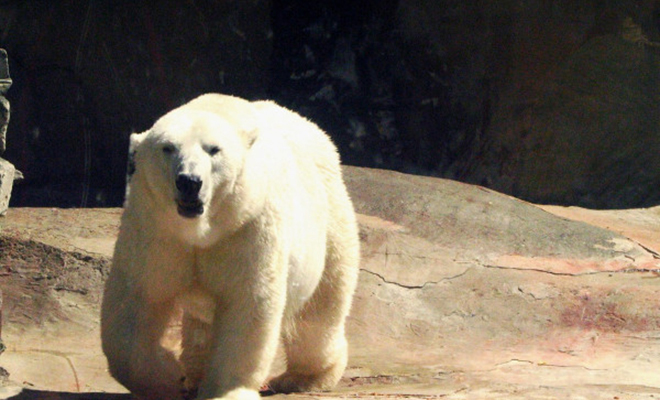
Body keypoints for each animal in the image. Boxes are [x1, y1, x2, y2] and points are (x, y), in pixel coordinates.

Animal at [102, 94, 360, 400]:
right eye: (168, 148)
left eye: (213, 150)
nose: (189, 181)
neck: (201, 228)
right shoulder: (157, 229)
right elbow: (138, 299)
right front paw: (169, 376)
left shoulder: (248, 226)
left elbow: (248, 301)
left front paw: (227, 390)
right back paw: (194, 375)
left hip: (329, 222)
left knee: (320, 311)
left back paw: (303, 377)